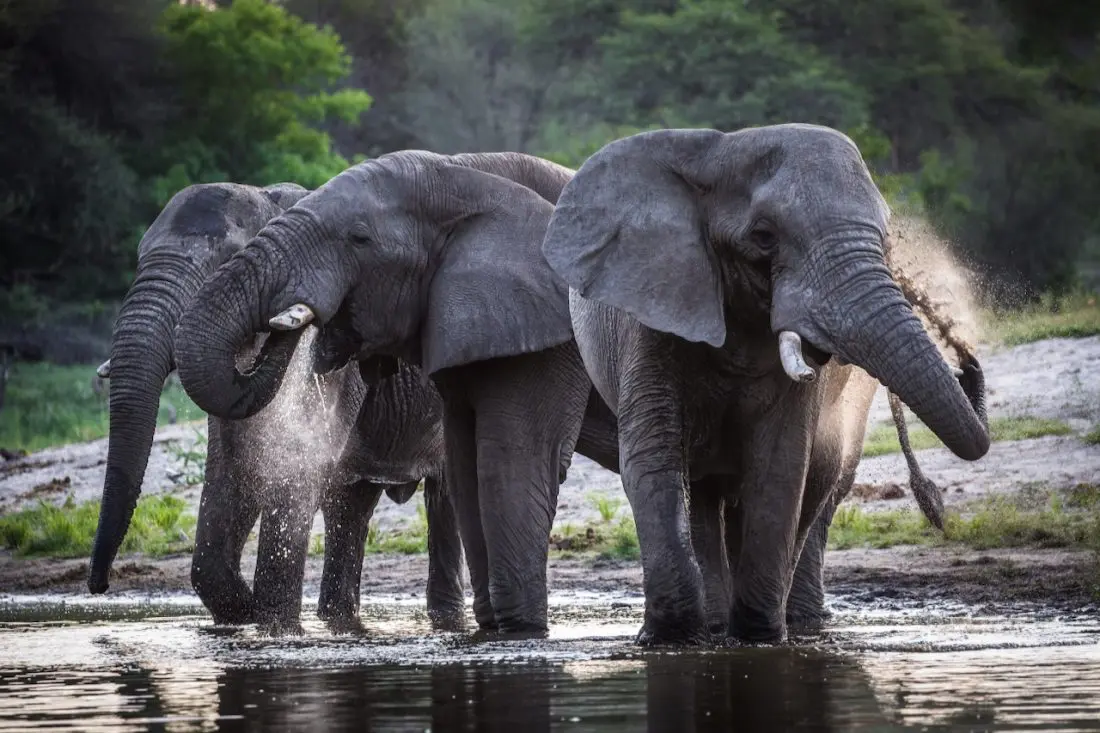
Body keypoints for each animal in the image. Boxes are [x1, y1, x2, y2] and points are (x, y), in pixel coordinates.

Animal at [86, 181, 464, 634]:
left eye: (222, 261)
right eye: (141, 257)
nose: (98, 587)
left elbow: (297, 464)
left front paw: (275, 630)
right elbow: (235, 468)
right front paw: (243, 620)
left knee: (444, 498)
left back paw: (446, 621)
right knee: (351, 506)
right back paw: (340, 623)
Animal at [541, 124, 989, 645]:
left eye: (886, 237)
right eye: (763, 237)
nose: (966, 365)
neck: (720, 152)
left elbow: (779, 467)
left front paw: (758, 637)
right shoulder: (651, 312)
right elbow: (654, 456)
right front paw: (672, 640)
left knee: (817, 480)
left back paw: (792, 622)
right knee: (704, 493)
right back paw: (716, 624)